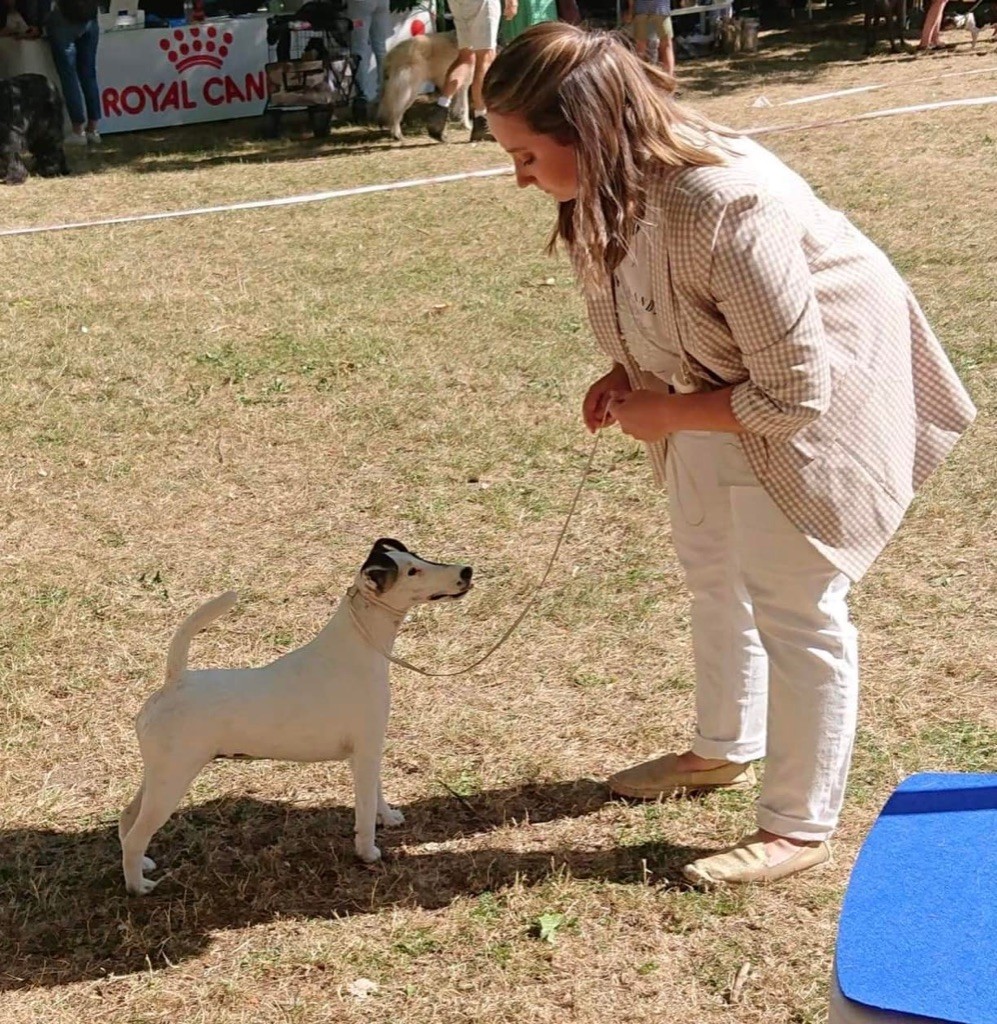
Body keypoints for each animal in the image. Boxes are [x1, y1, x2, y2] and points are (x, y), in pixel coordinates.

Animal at [119, 540, 474, 892]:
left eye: (416, 556)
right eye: (412, 571)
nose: (467, 571)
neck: (357, 646)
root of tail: (174, 681)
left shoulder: (367, 751)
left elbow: (376, 793)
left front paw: (387, 817)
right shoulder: (367, 750)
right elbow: (364, 808)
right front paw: (368, 851)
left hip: (159, 775)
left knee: (127, 818)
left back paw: (143, 864)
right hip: (172, 780)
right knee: (136, 834)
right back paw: (139, 886)